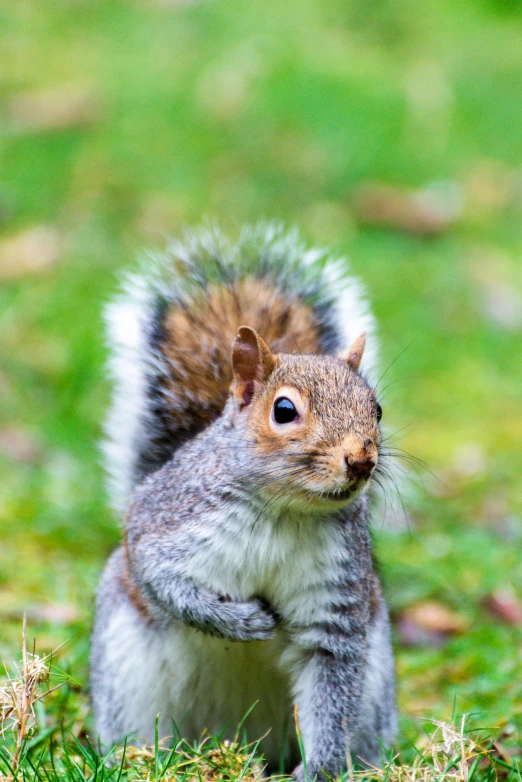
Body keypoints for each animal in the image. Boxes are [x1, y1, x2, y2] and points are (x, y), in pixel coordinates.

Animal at [91, 224, 396, 780]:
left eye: (377, 409)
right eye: (284, 410)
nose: (361, 460)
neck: (285, 510)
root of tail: (244, 738)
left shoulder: (336, 601)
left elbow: (331, 689)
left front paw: (319, 769)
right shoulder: (165, 525)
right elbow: (167, 584)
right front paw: (244, 622)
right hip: (128, 680)